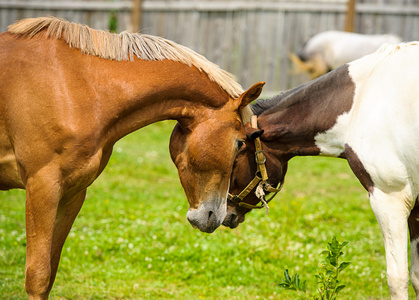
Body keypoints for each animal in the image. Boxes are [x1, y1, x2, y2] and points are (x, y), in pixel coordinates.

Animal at [0, 17, 262, 298]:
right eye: (240, 143)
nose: (217, 216)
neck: (78, 87)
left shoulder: (71, 193)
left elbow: (50, 273)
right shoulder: (42, 188)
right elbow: (37, 277)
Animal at [228, 41, 419, 298]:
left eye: (233, 159)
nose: (220, 214)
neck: (360, 101)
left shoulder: (390, 200)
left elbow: (397, 279)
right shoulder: (417, 206)